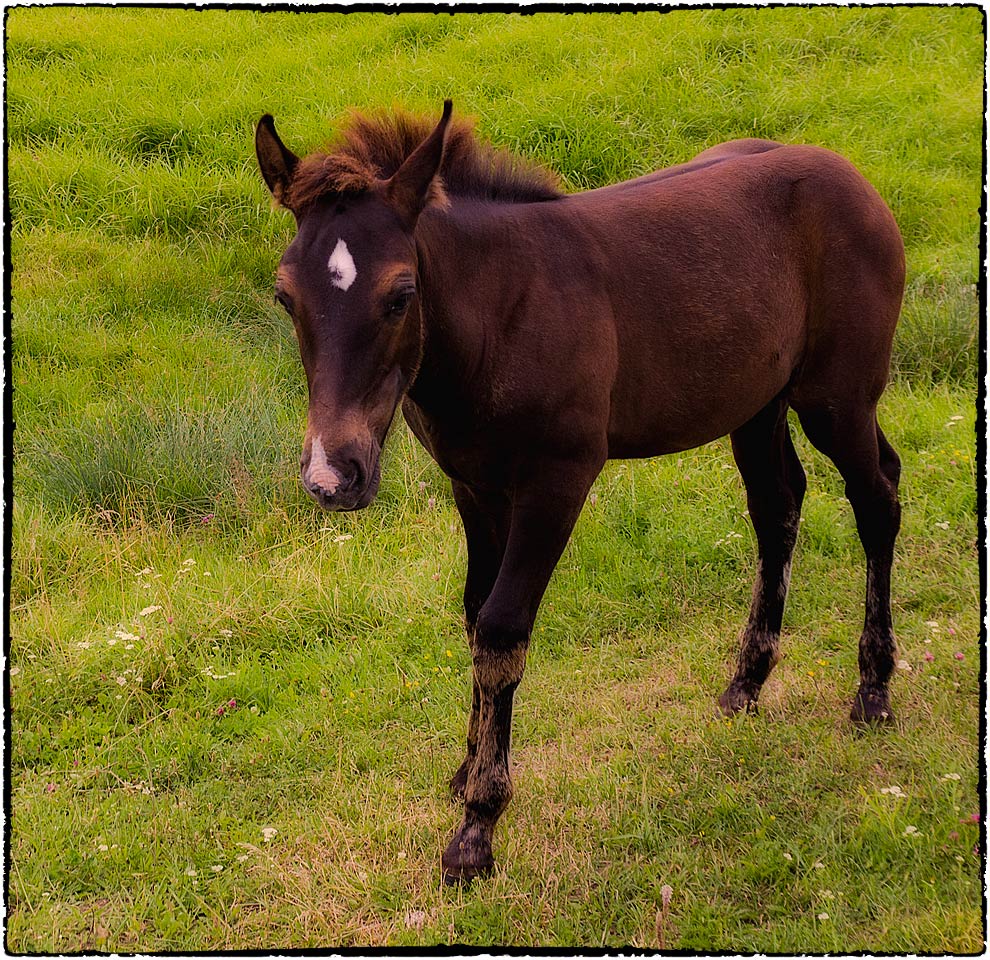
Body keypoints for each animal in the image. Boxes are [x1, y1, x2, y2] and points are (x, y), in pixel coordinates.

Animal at [255, 100, 904, 883]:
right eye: (286, 296)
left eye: (400, 295)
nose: (333, 476)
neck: (500, 315)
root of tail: (855, 178)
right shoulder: (474, 486)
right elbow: (474, 614)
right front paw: (466, 770)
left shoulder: (557, 480)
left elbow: (502, 629)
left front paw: (477, 828)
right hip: (757, 403)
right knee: (778, 506)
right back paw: (746, 683)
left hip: (839, 399)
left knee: (878, 499)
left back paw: (873, 689)